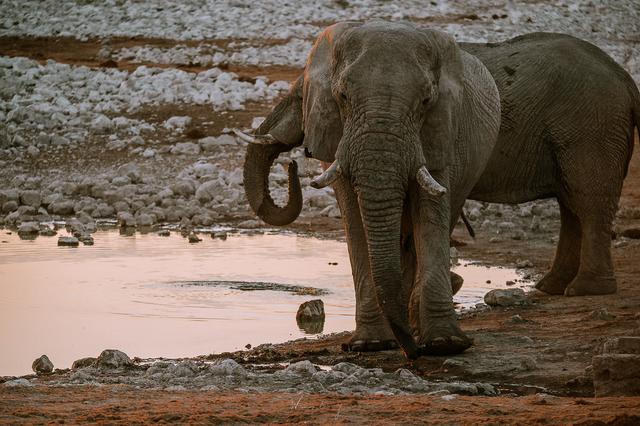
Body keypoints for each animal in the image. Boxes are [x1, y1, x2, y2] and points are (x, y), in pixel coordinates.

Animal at [242, 20, 502, 360]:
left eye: (426, 102)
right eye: (342, 96)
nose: (293, 165)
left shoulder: (441, 134)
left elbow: (430, 213)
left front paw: (445, 344)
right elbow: (355, 219)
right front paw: (371, 344)